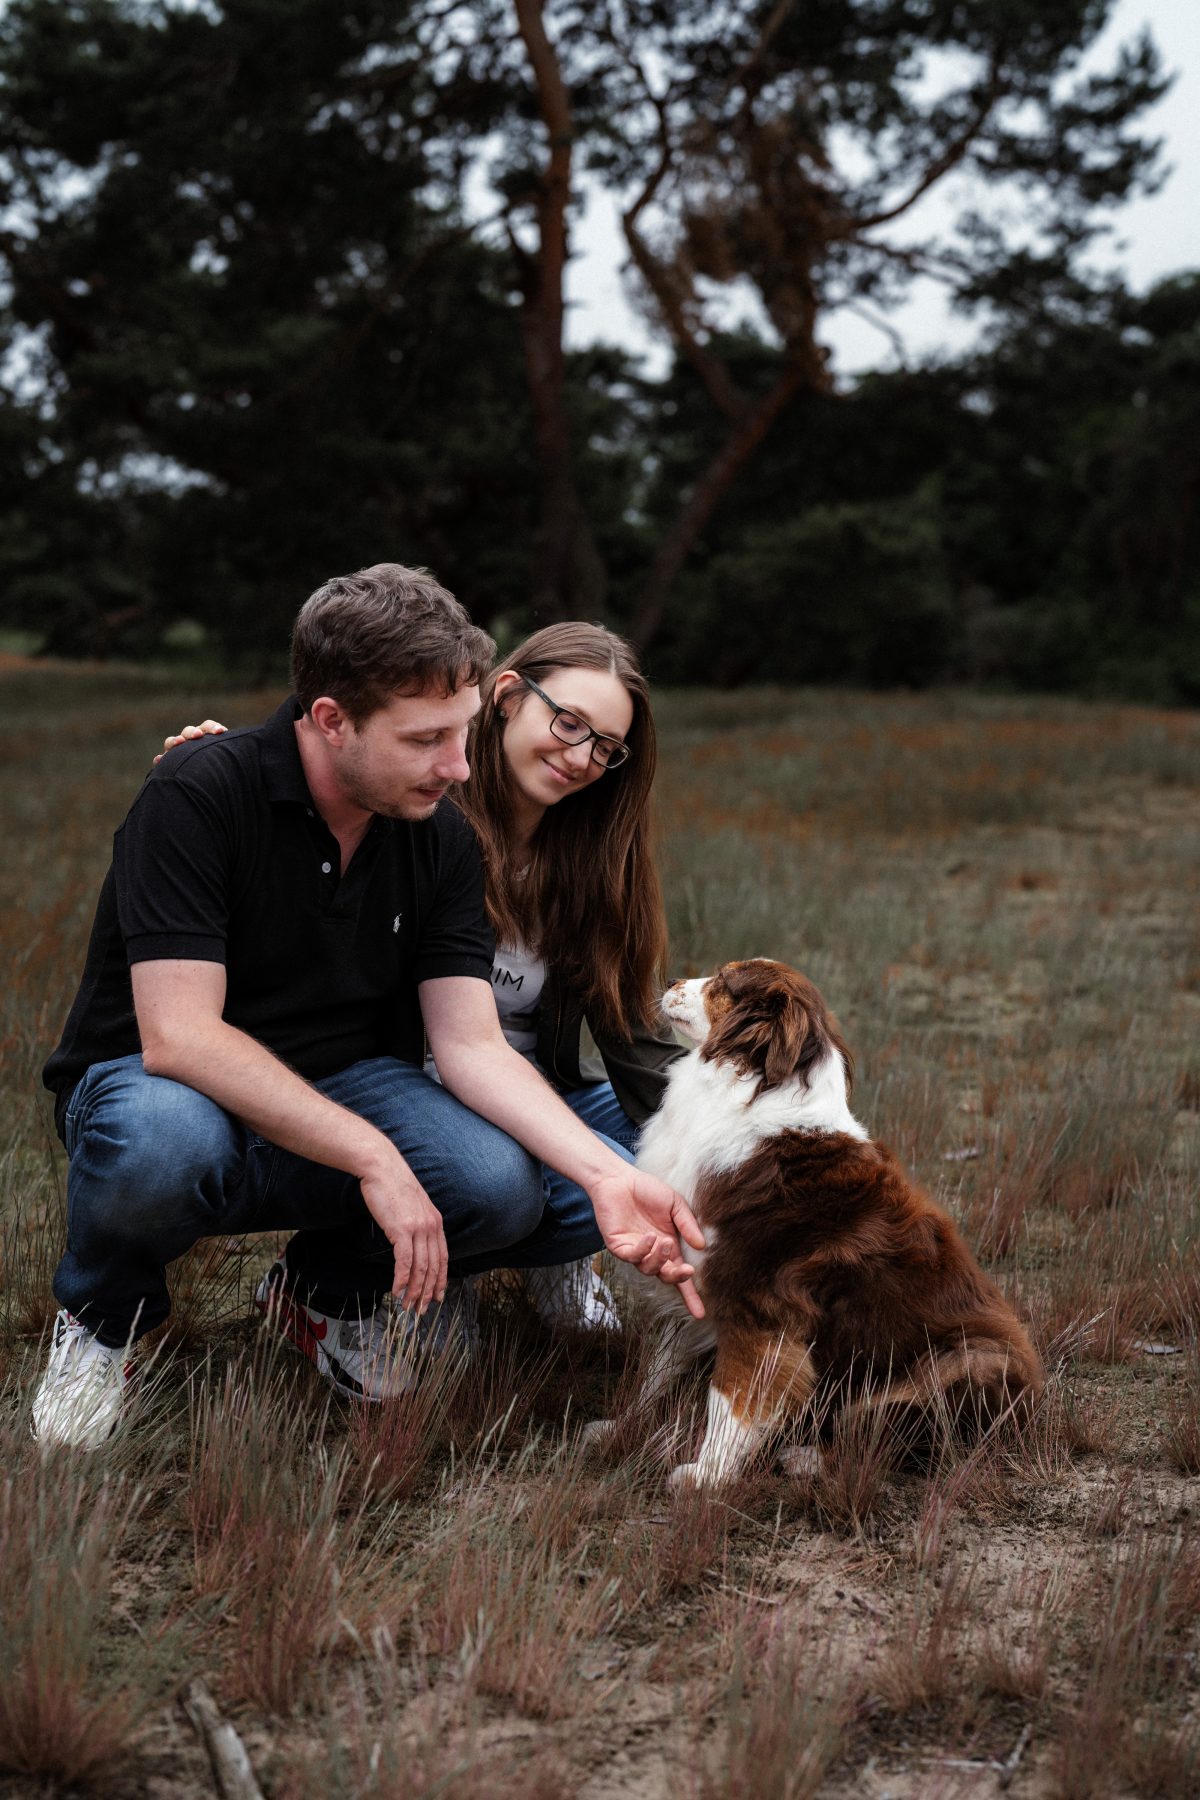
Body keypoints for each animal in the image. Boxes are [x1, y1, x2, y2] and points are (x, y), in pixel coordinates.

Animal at [603, 959, 1044, 1488]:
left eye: (724, 982)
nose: (667, 980)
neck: (748, 1090)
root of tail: (1035, 1409)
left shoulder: (760, 1307)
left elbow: (731, 1401)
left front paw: (707, 1476)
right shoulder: (691, 1276)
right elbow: (657, 1370)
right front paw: (619, 1426)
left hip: (967, 1360)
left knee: (898, 1437)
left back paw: (808, 1459)